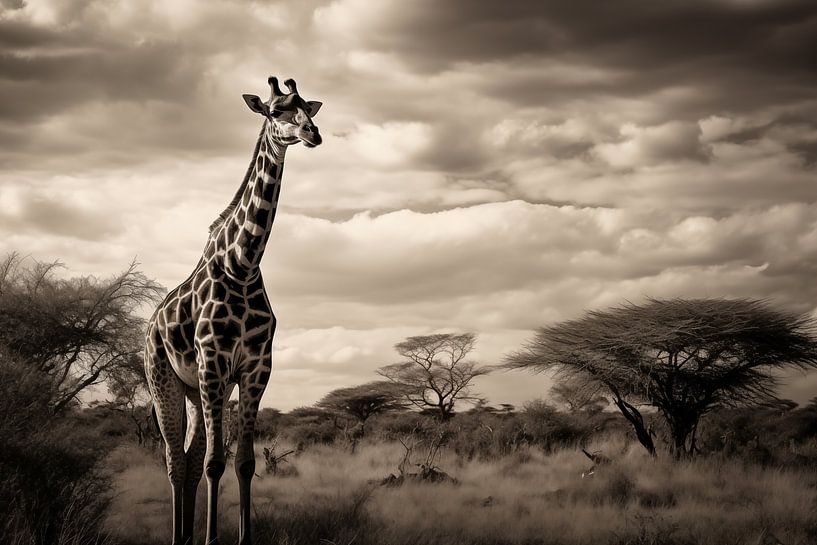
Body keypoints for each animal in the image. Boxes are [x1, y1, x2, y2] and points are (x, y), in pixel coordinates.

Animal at [144, 76, 322, 545]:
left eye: (308, 107)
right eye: (276, 110)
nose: (313, 133)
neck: (242, 265)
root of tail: (149, 326)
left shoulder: (256, 366)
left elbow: (243, 462)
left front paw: (243, 537)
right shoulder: (214, 361)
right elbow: (214, 463)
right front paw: (211, 539)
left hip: (198, 390)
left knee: (188, 460)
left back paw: (186, 536)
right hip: (164, 380)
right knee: (175, 461)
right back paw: (180, 537)